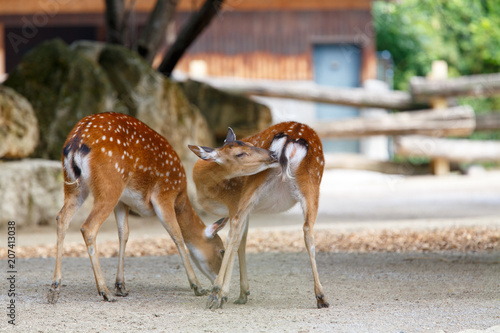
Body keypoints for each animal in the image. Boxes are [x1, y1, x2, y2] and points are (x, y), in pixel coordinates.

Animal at [47, 112, 225, 304]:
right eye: (221, 250)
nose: (217, 281)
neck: (180, 197)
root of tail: (75, 142)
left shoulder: (123, 202)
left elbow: (124, 233)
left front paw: (121, 286)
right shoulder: (164, 194)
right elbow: (177, 235)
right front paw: (197, 286)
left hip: (74, 185)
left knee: (62, 217)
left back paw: (55, 288)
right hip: (110, 184)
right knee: (88, 227)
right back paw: (104, 291)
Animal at [188, 121, 328, 308]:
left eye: (249, 145)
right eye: (240, 153)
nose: (272, 154)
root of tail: (292, 137)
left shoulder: (233, 201)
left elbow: (237, 241)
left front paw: (229, 294)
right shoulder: (247, 210)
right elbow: (243, 242)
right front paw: (242, 293)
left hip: (255, 183)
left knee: (233, 232)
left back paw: (216, 294)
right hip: (311, 182)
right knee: (308, 231)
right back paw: (321, 297)